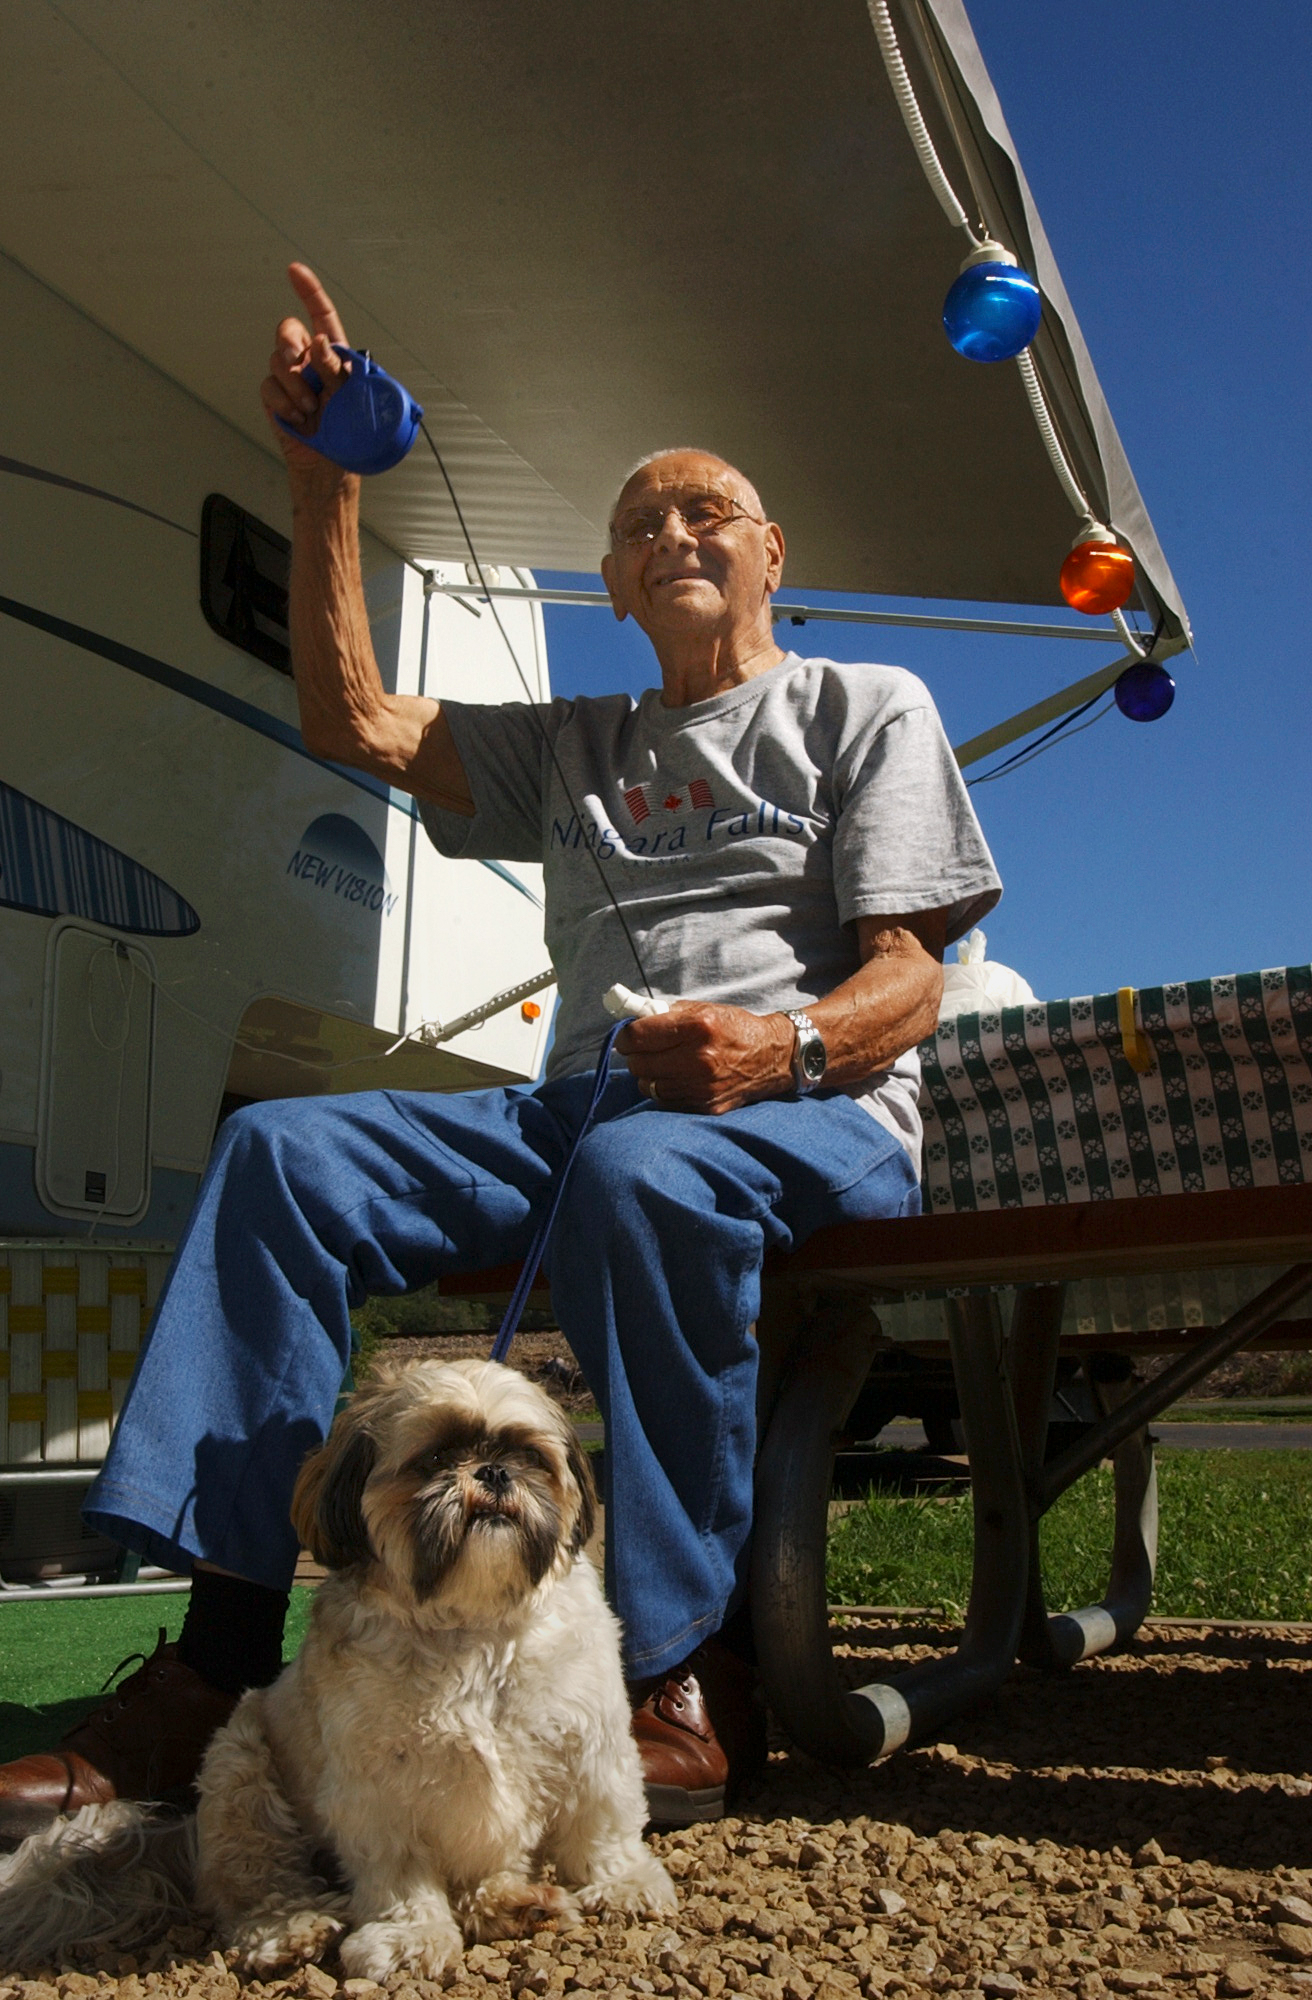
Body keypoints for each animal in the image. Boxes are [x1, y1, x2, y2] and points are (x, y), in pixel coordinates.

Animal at [0, 1352, 676, 1976]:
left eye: (528, 1454)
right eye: (434, 1459)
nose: (493, 1471)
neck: (472, 1624)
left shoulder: (590, 1746)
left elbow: (601, 1824)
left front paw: (621, 1881)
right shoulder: (379, 1790)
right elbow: (399, 1873)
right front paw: (408, 1937)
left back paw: (511, 1901)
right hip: (240, 1772)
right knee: (255, 1886)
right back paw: (291, 1930)